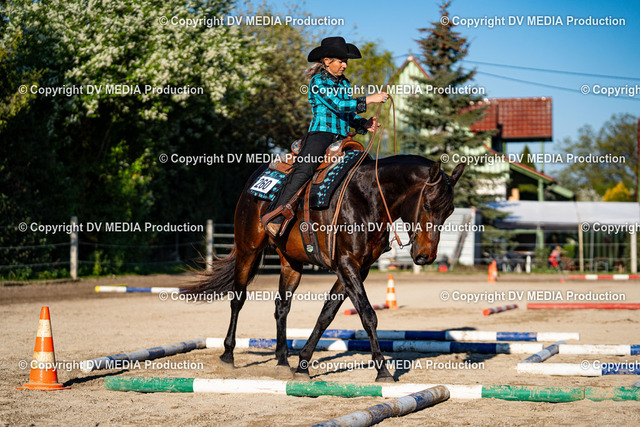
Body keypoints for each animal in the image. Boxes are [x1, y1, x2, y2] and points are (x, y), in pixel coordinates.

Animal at [186, 154, 465, 382]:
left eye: (450, 211)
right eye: (427, 205)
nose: (425, 256)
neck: (367, 197)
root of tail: (254, 182)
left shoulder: (357, 268)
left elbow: (326, 314)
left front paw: (302, 364)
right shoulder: (347, 264)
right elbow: (368, 315)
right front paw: (383, 370)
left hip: (291, 262)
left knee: (281, 307)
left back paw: (282, 361)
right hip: (248, 249)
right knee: (238, 299)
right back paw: (228, 355)